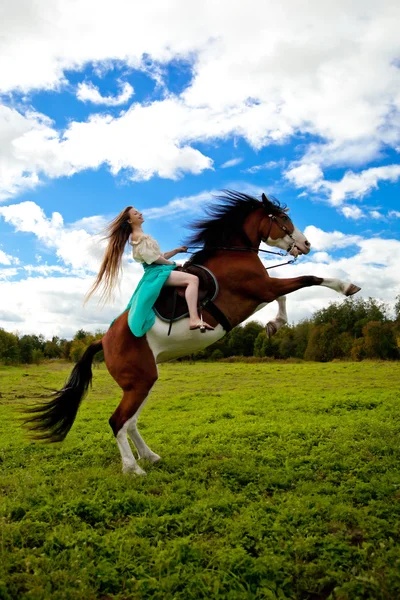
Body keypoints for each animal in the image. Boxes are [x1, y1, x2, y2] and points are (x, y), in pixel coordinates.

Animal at [26, 191, 360, 474]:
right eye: (282, 219)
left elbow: (285, 297)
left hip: (144, 381)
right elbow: (308, 279)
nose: (306, 245)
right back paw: (133, 469)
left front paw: (274, 325)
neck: (233, 253)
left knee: (130, 423)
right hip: (140, 381)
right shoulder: (260, 288)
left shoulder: (262, 291)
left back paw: (150, 456)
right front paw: (347, 286)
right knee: (118, 421)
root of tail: (103, 340)